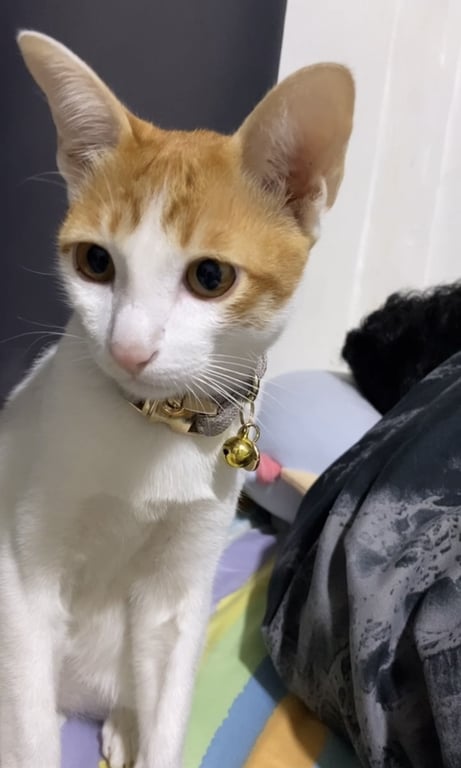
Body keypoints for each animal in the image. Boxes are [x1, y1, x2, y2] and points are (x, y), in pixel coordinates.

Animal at [0, 30, 354, 768]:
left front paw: (150, 736)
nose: (129, 349)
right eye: (95, 263)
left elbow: (170, 700)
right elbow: (29, 724)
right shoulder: (22, 577)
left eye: (210, 276)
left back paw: (122, 723)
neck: (155, 430)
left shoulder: (179, 586)